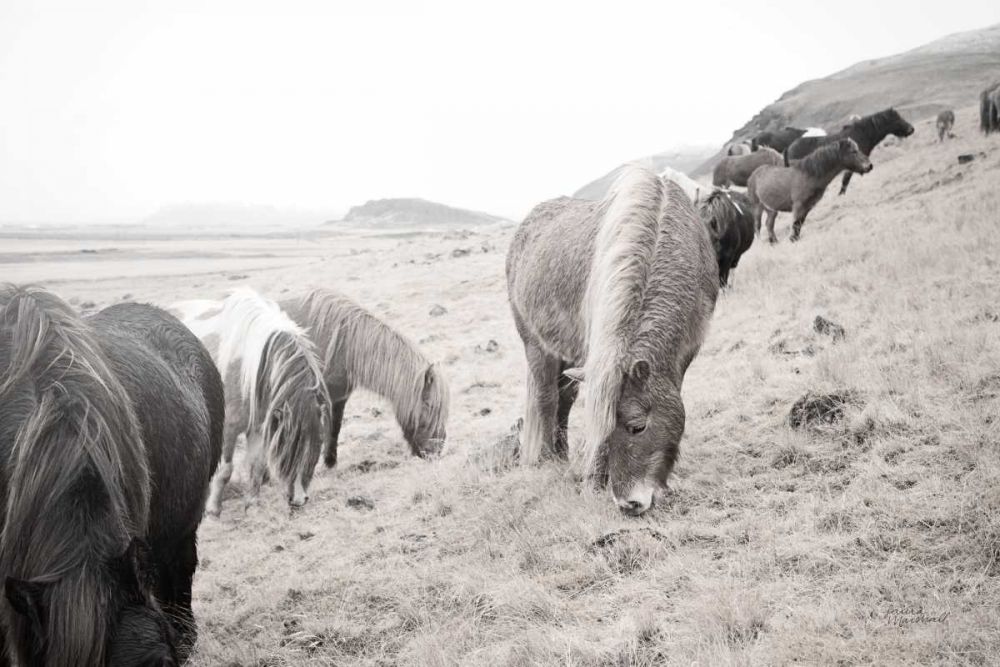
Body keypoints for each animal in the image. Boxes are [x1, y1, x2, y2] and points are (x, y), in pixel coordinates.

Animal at [172, 288, 330, 515]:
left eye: (318, 443)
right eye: (290, 445)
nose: (299, 500)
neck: (248, 367)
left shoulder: (258, 427)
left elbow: (257, 466)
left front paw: (252, 504)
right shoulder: (228, 428)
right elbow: (225, 470)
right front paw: (213, 510)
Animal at [281, 289, 449, 468]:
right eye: (429, 405)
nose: (436, 451)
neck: (344, 344)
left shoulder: (338, 398)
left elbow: (334, 429)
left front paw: (330, 462)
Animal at [506, 165, 719, 516]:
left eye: (637, 426)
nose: (629, 503)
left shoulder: (686, 353)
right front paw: (593, 481)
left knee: (564, 401)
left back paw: (563, 454)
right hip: (536, 348)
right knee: (546, 399)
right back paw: (549, 460)